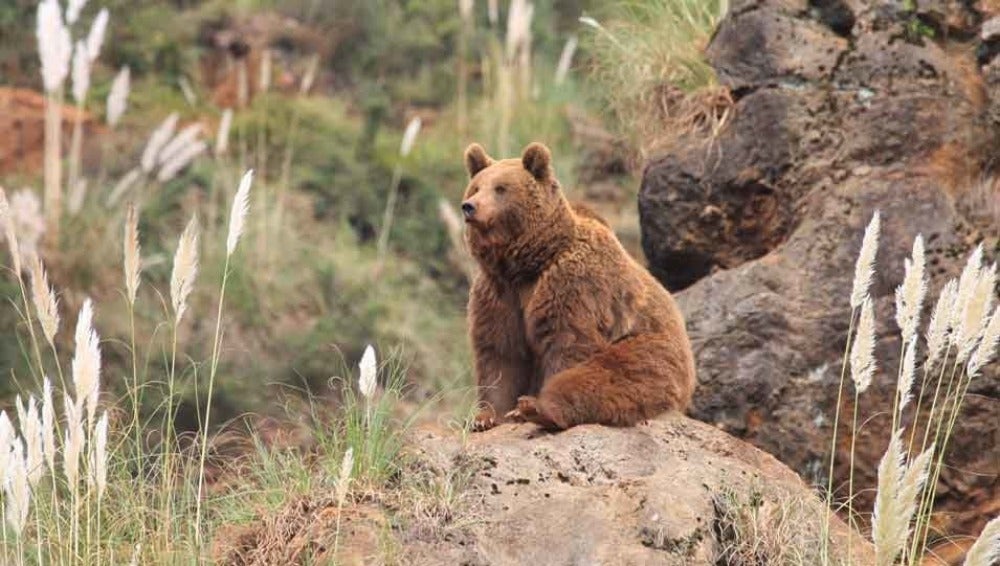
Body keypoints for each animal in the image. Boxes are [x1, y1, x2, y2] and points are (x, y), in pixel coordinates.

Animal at [461, 141, 697, 431]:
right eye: (476, 187)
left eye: (501, 188)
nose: (469, 206)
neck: (525, 263)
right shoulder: (498, 292)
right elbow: (500, 352)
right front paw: (485, 417)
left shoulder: (573, 285)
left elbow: (567, 344)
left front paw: (521, 408)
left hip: (652, 349)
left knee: (610, 376)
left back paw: (539, 408)